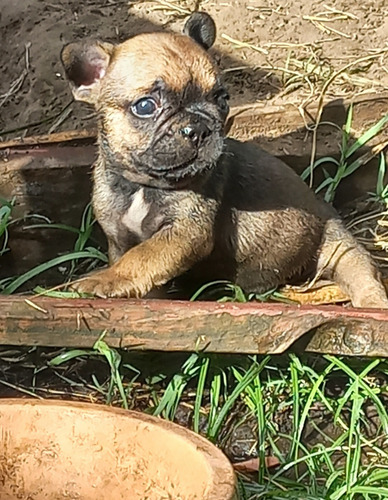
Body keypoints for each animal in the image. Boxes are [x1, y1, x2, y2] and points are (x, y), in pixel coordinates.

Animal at [60, 11, 388, 306]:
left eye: (222, 99)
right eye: (145, 106)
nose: (199, 128)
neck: (142, 185)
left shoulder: (184, 232)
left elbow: (143, 256)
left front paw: (106, 279)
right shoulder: (119, 236)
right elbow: (138, 264)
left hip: (341, 250)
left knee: (364, 277)